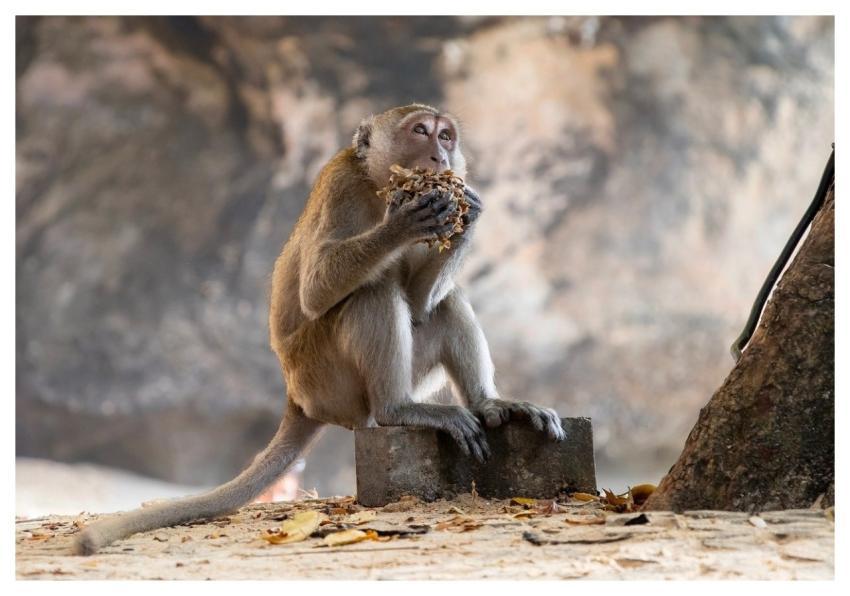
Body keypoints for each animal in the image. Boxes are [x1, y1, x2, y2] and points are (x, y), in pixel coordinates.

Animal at [74, 104, 566, 555]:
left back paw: (488, 403)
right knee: (372, 293)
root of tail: (296, 395)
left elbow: (422, 301)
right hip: (328, 380)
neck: (376, 182)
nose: (441, 157)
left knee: (442, 301)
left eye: (446, 136)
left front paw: (469, 214)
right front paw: (402, 223)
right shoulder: (341, 187)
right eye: (421, 131)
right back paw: (399, 409)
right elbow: (315, 289)